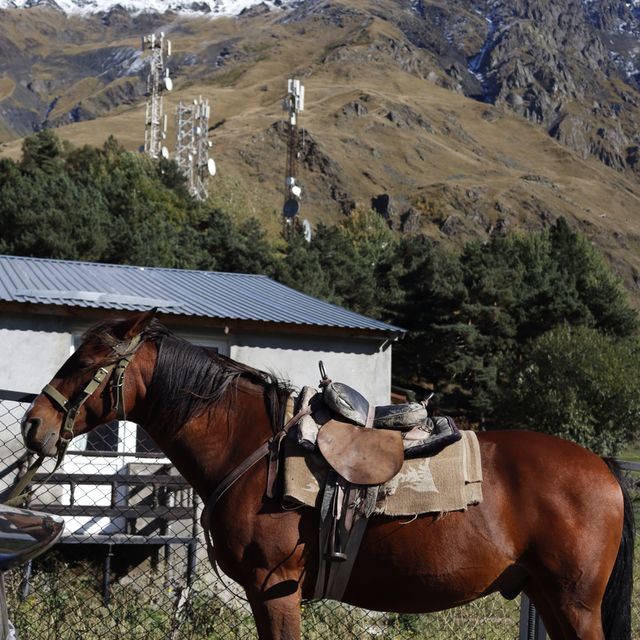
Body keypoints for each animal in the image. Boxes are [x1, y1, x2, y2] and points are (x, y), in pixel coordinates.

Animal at [20, 308, 636, 636]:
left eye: (87, 362)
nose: (33, 424)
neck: (252, 448)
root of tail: (603, 469)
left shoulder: (275, 589)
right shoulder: (264, 594)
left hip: (574, 603)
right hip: (550, 598)